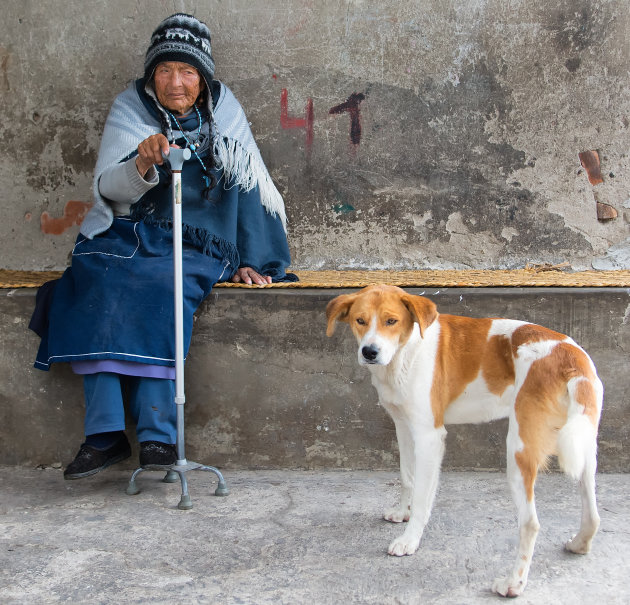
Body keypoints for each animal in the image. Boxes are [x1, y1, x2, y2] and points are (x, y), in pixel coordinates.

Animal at [328, 286, 604, 596]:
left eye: (391, 321)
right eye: (360, 320)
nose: (370, 352)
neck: (407, 349)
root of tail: (570, 357)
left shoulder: (429, 436)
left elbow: (423, 496)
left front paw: (410, 540)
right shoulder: (403, 426)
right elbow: (407, 478)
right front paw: (401, 512)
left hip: (519, 451)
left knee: (530, 523)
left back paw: (513, 584)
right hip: (584, 447)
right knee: (592, 513)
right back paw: (580, 543)